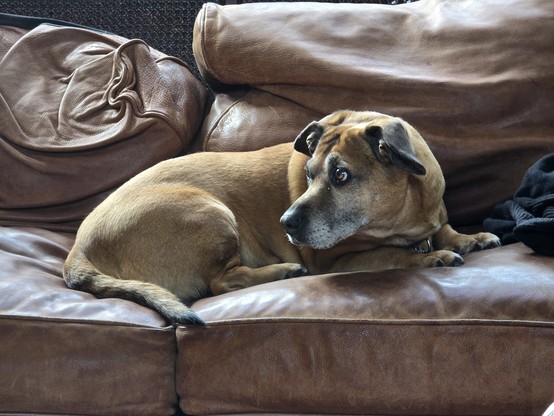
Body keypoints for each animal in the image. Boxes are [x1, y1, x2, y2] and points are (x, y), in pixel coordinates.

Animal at [62, 110, 498, 324]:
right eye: (308, 174)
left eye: (341, 176)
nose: (286, 224)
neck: (408, 216)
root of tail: (78, 250)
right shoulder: (337, 259)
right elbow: (395, 254)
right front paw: (431, 256)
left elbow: (445, 228)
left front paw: (467, 238)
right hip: (208, 211)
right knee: (221, 281)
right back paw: (282, 271)